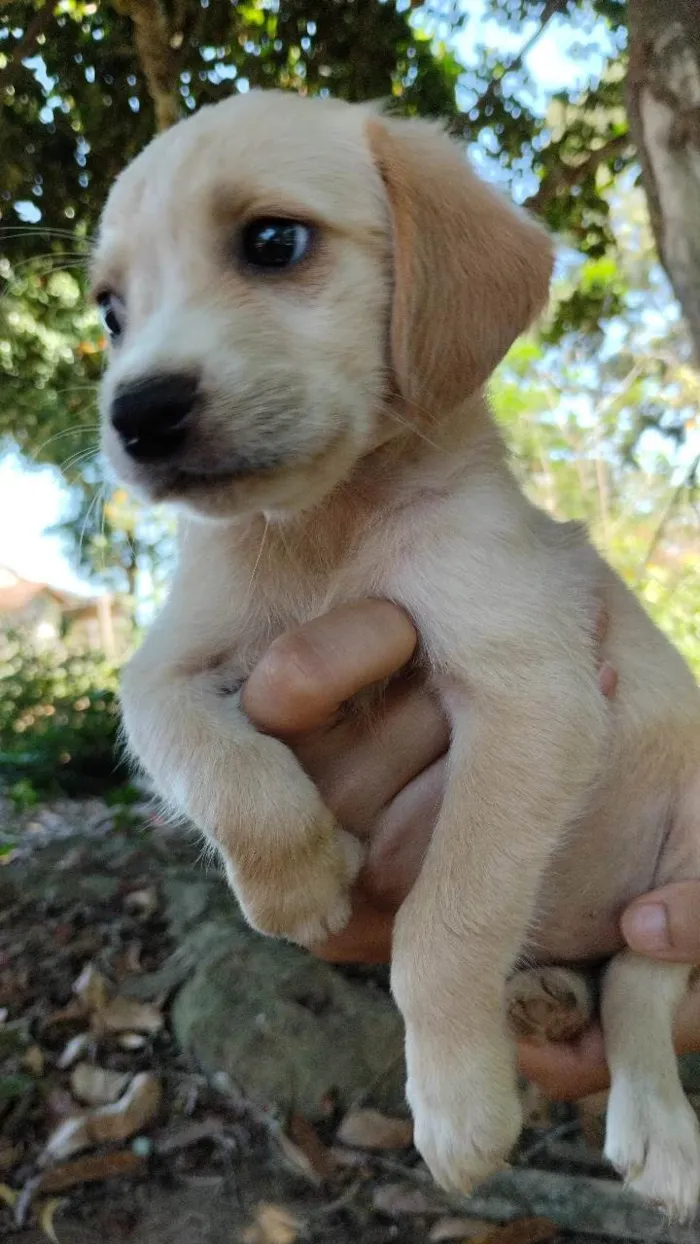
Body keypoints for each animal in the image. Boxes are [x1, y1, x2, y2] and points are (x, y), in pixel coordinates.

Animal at [92, 92, 700, 1219]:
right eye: (110, 309)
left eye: (273, 241)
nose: (136, 415)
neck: (324, 527)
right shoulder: (160, 666)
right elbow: (216, 764)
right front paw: (298, 879)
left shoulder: (531, 693)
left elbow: (442, 928)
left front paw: (459, 1108)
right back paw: (544, 993)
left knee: (643, 981)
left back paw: (658, 1131)